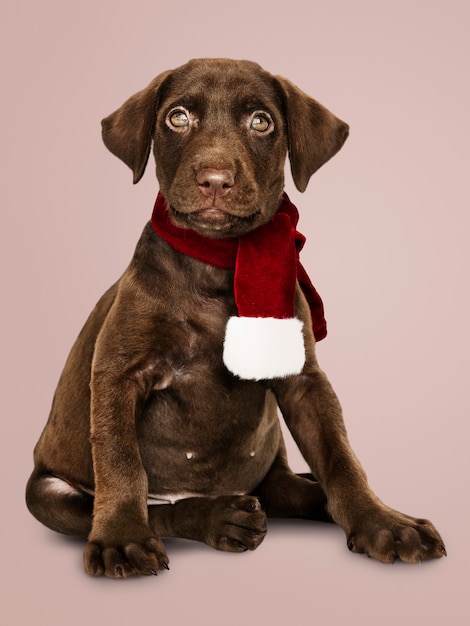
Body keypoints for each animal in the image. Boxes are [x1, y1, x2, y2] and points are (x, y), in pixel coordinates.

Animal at [24, 58, 444, 576]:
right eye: (177, 117)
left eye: (261, 122)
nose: (215, 179)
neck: (219, 261)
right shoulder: (118, 374)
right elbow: (122, 465)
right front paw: (121, 538)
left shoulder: (304, 380)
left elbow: (340, 457)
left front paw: (381, 521)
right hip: (48, 492)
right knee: (158, 509)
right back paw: (220, 518)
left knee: (287, 488)